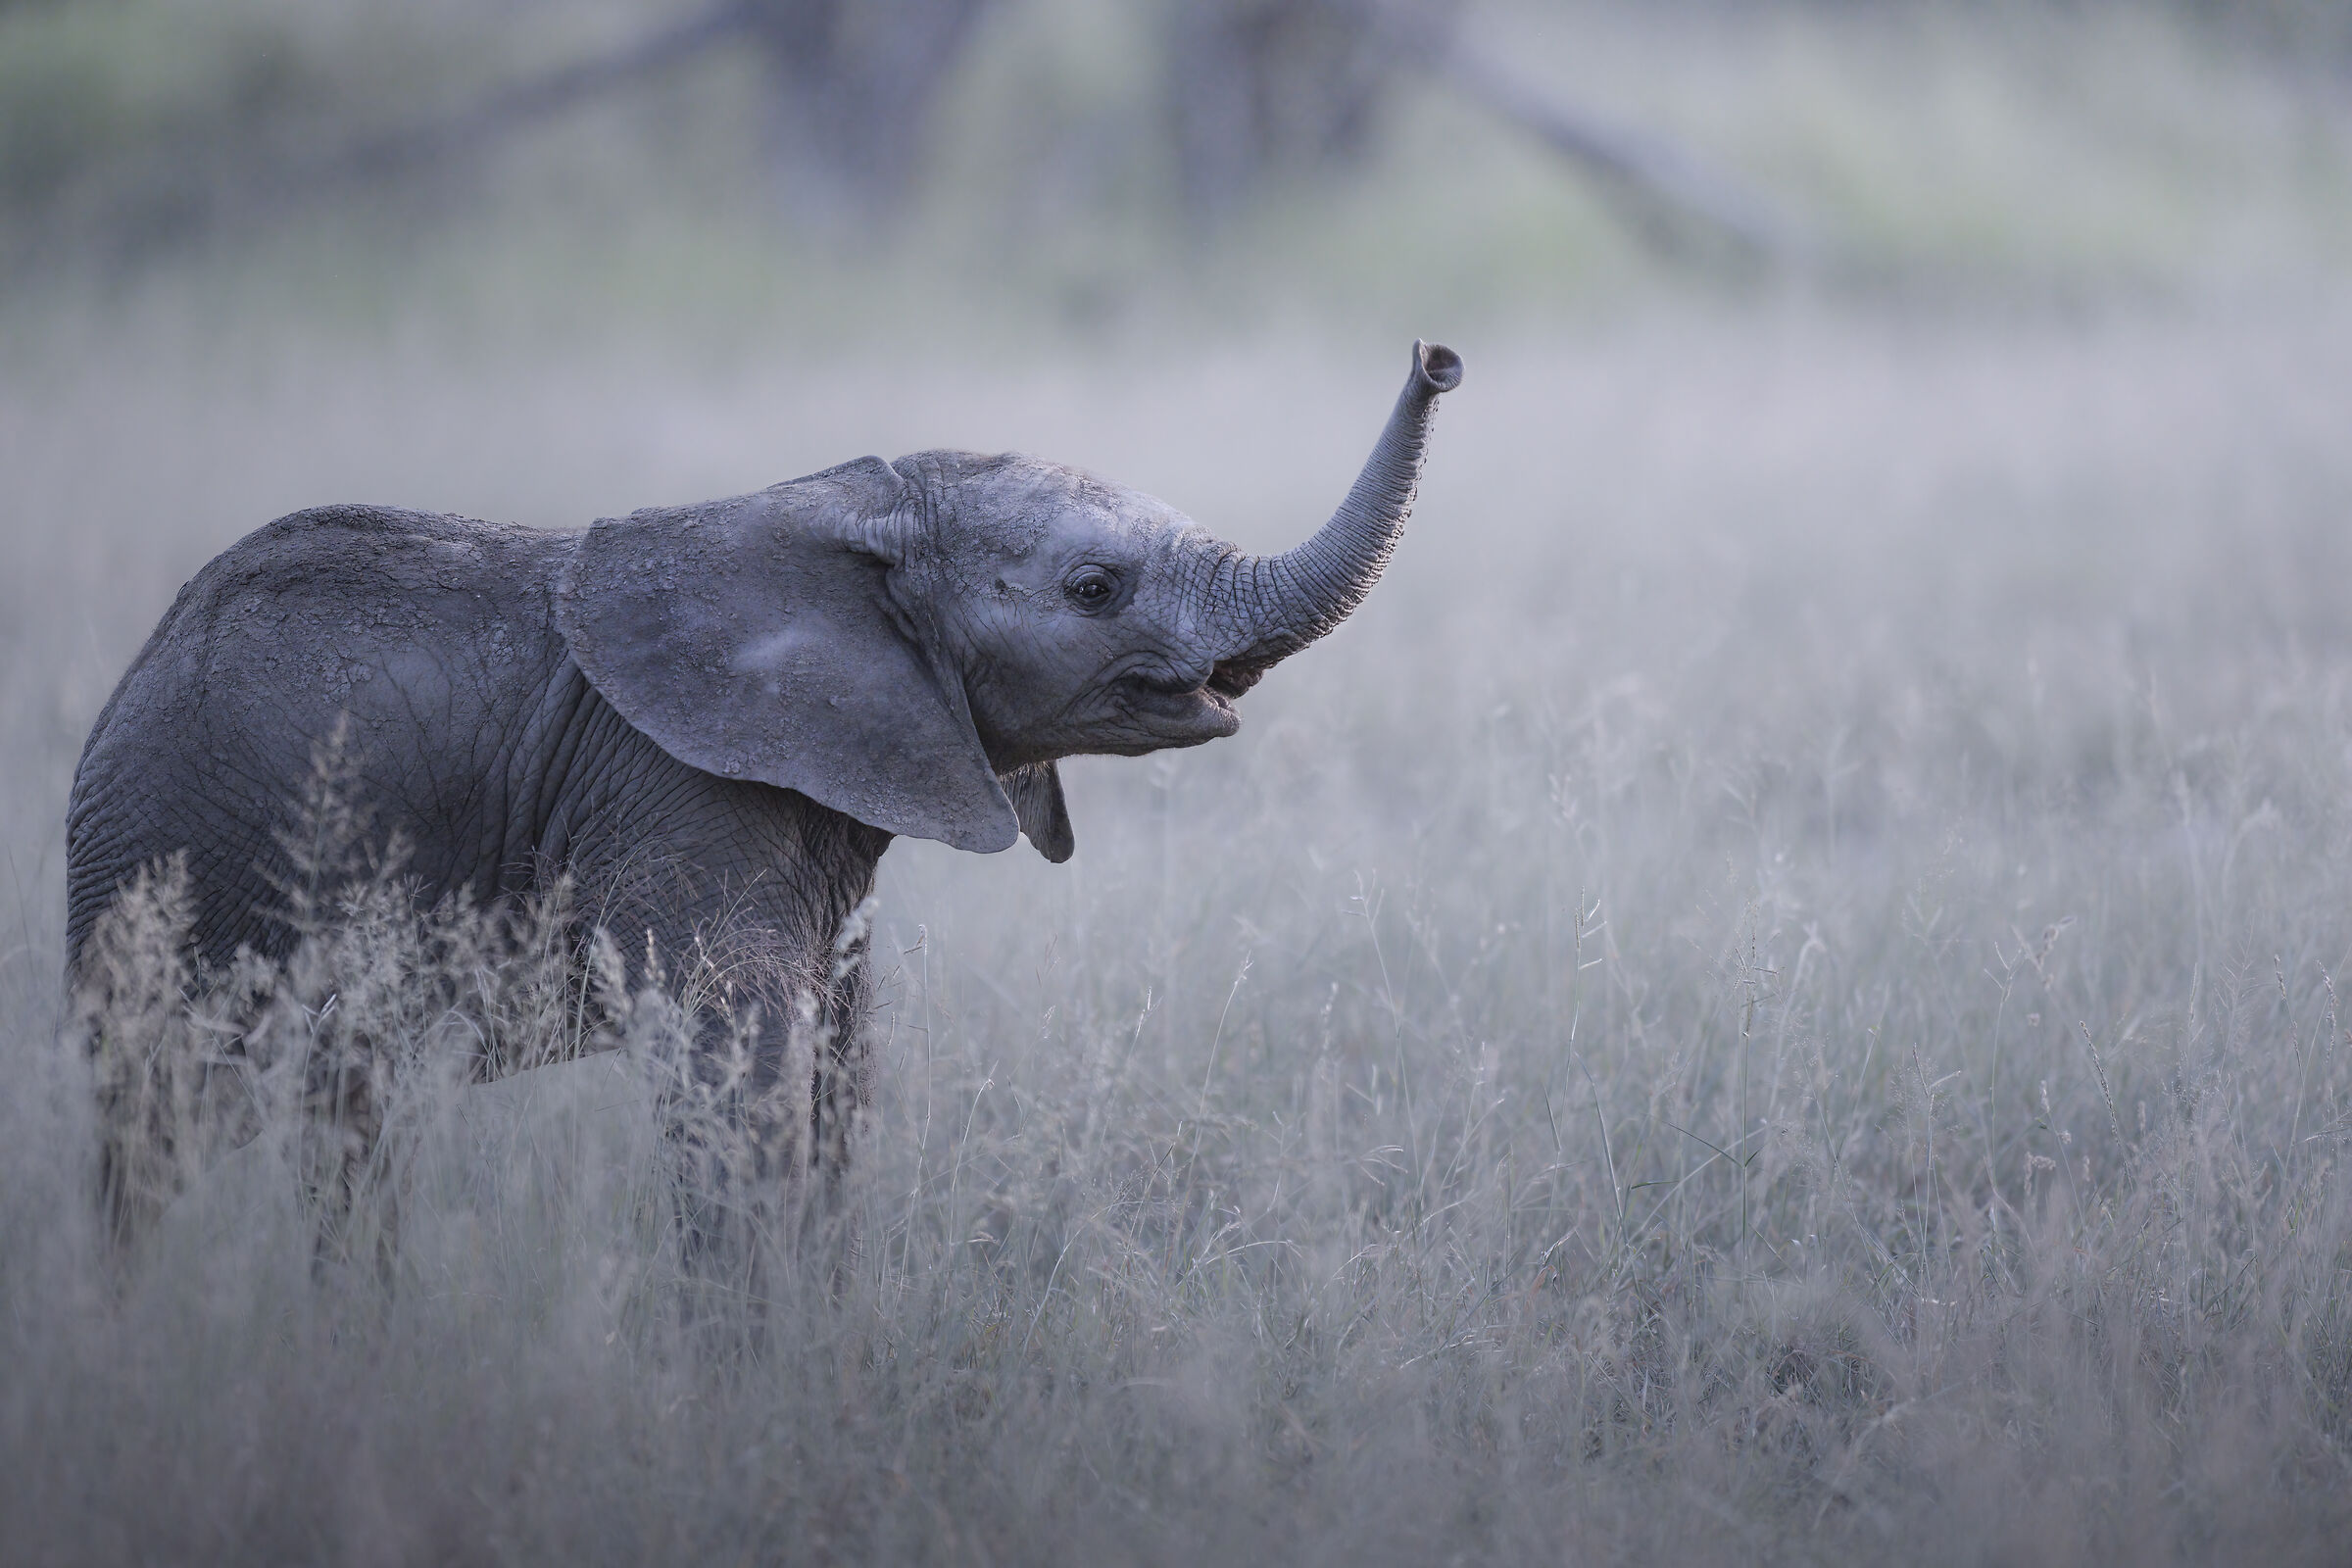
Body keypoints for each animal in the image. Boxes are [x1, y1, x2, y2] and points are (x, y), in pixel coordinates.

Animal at [65, 340, 1461, 1227]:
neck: (844, 509)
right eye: (1093, 588)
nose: (1437, 357)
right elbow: (743, 1077)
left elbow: (841, 1084)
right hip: (167, 857)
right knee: (165, 1118)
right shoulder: (675, 791)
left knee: (338, 1119)